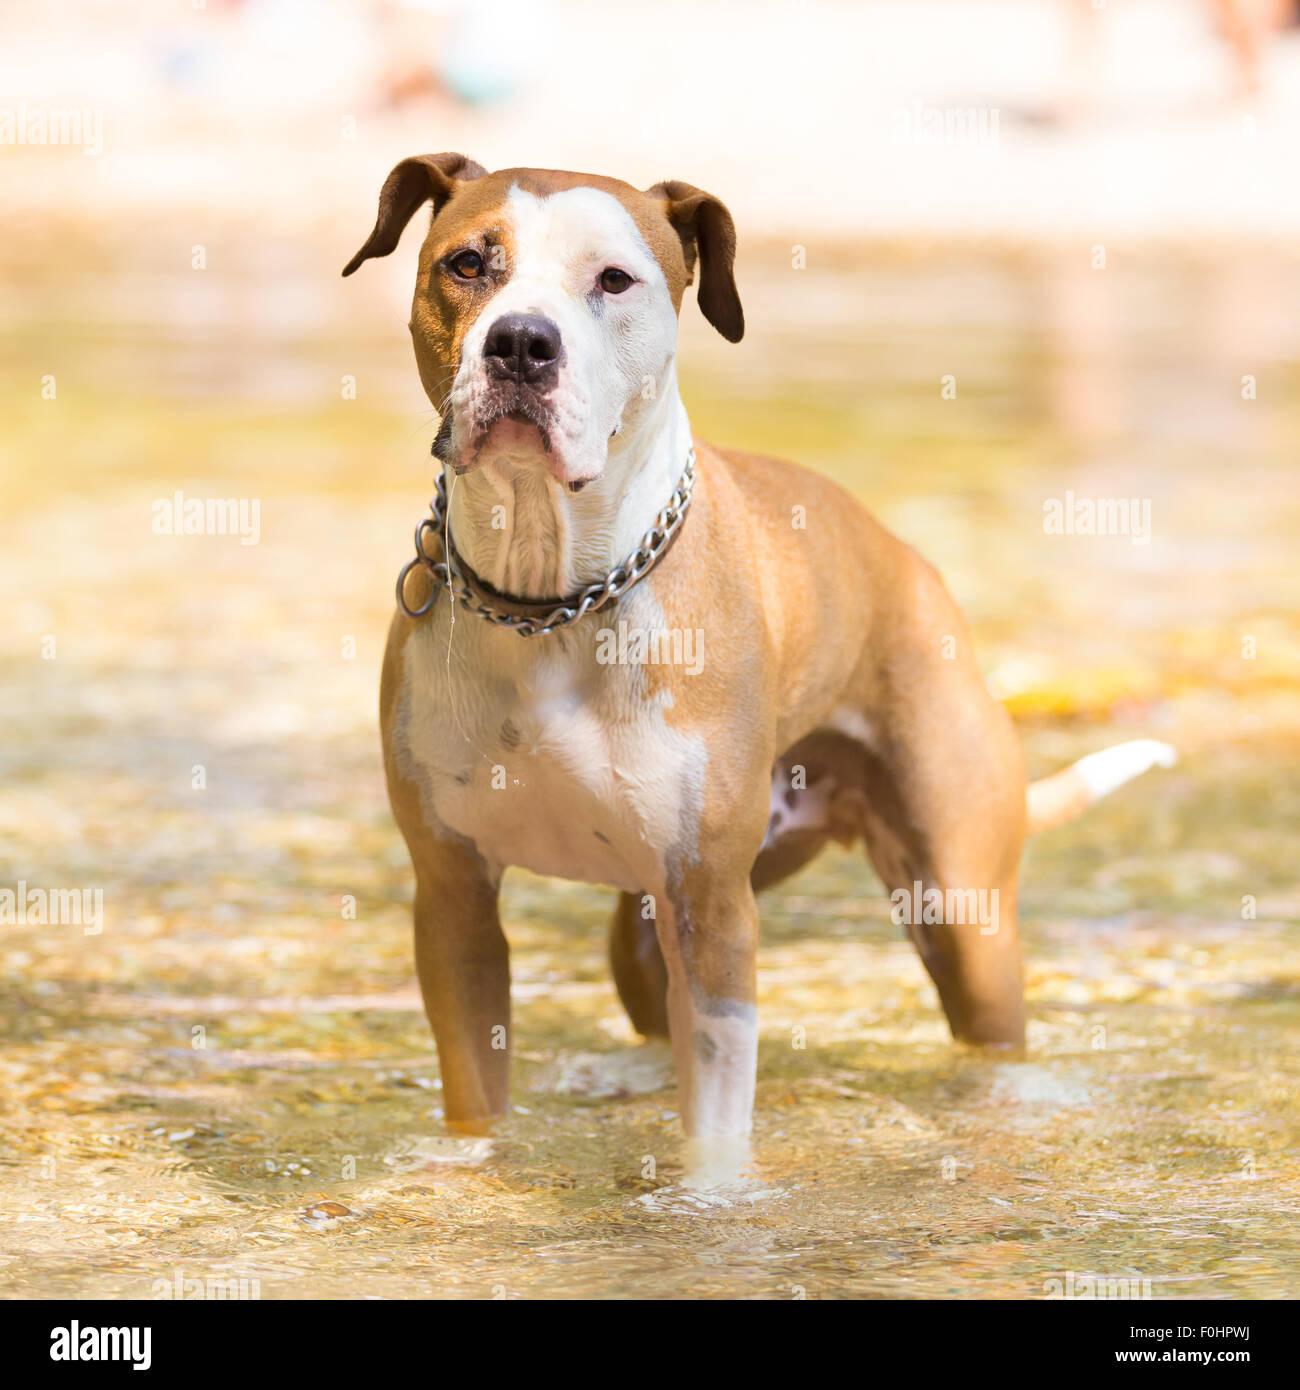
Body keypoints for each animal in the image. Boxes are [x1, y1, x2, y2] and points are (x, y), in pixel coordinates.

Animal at [346, 152, 1179, 1173]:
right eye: (468, 263)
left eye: (613, 280)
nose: (522, 343)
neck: (553, 598)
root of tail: (910, 563)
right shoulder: (454, 897)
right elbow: (476, 1094)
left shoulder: (715, 914)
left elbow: (715, 1126)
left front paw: (707, 1200)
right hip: (645, 927)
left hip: (960, 912)